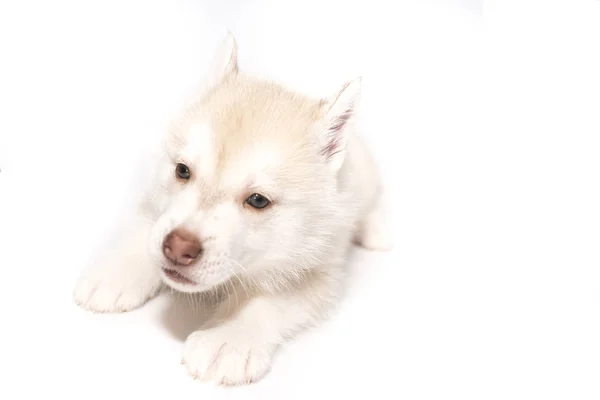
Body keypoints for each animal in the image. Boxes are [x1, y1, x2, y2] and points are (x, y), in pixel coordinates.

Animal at [72, 33, 392, 384]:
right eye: (182, 170)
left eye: (258, 200)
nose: (177, 247)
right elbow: (149, 226)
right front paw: (117, 272)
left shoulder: (317, 270)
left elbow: (267, 300)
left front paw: (228, 338)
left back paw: (377, 231)